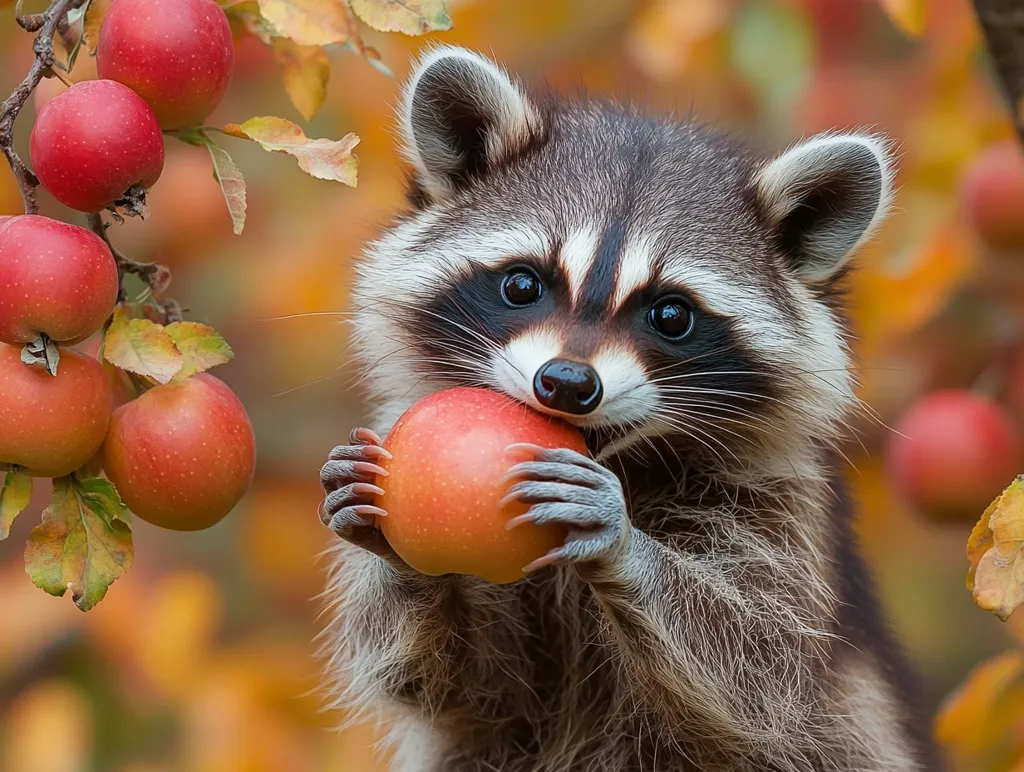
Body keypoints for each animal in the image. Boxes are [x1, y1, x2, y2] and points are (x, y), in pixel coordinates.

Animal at [318, 46, 940, 772]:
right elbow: (464, 686)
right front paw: (392, 551)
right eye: (522, 284)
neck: (626, 461)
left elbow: (762, 671)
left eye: (671, 315)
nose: (566, 382)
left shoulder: (784, 515)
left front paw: (621, 544)